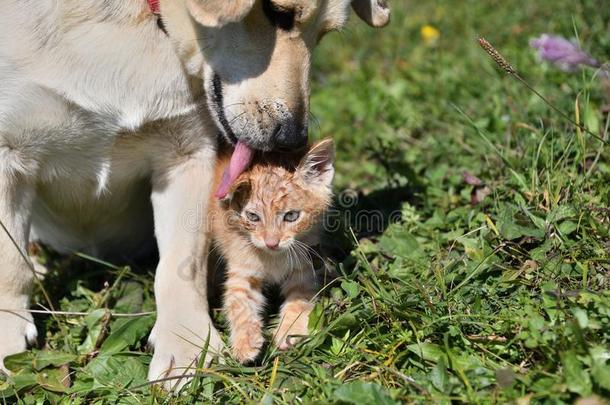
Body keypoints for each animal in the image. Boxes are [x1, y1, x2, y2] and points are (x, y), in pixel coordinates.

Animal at [208, 139, 332, 362]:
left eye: (291, 216)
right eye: (253, 217)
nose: (272, 243)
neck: (273, 257)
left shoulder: (304, 268)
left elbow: (299, 300)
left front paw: (290, 331)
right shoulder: (242, 269)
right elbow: (238, 302)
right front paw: (245, 342)